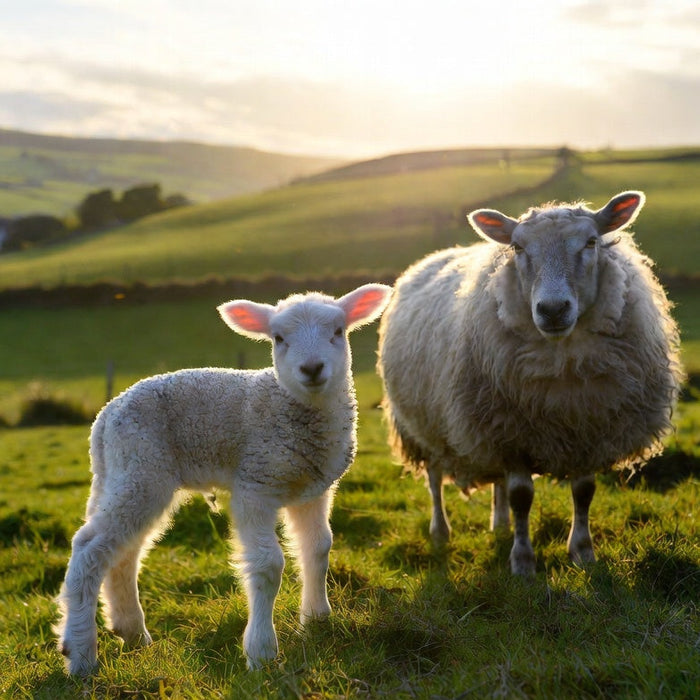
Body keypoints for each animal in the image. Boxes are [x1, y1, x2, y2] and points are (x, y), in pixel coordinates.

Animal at [55, 283, 392, 675]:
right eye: (278, 339)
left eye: (338, 331)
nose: (311, 368)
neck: (292, 407)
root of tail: (106, 415)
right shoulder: (256, 484)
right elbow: (268, 564)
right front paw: (261, 651)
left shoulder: (314, 488)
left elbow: (319, 547)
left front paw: (316, 620)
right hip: (141, 468)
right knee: (90, 548)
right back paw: (81, 653)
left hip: (124, 475)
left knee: (123, 552)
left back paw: (132, 632)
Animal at [377, 191, 683, 576]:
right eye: (518, 247)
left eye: (591, 242)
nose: (552, 310)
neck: (563, 362)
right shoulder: (513, 435)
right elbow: (522, 496)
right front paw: (523, 563)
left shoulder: (586, 429)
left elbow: (583, 492)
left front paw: (583, 553)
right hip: (424, 425)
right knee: (434, 479)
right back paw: (440, 533)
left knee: (496, 481)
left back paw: (500, 524)